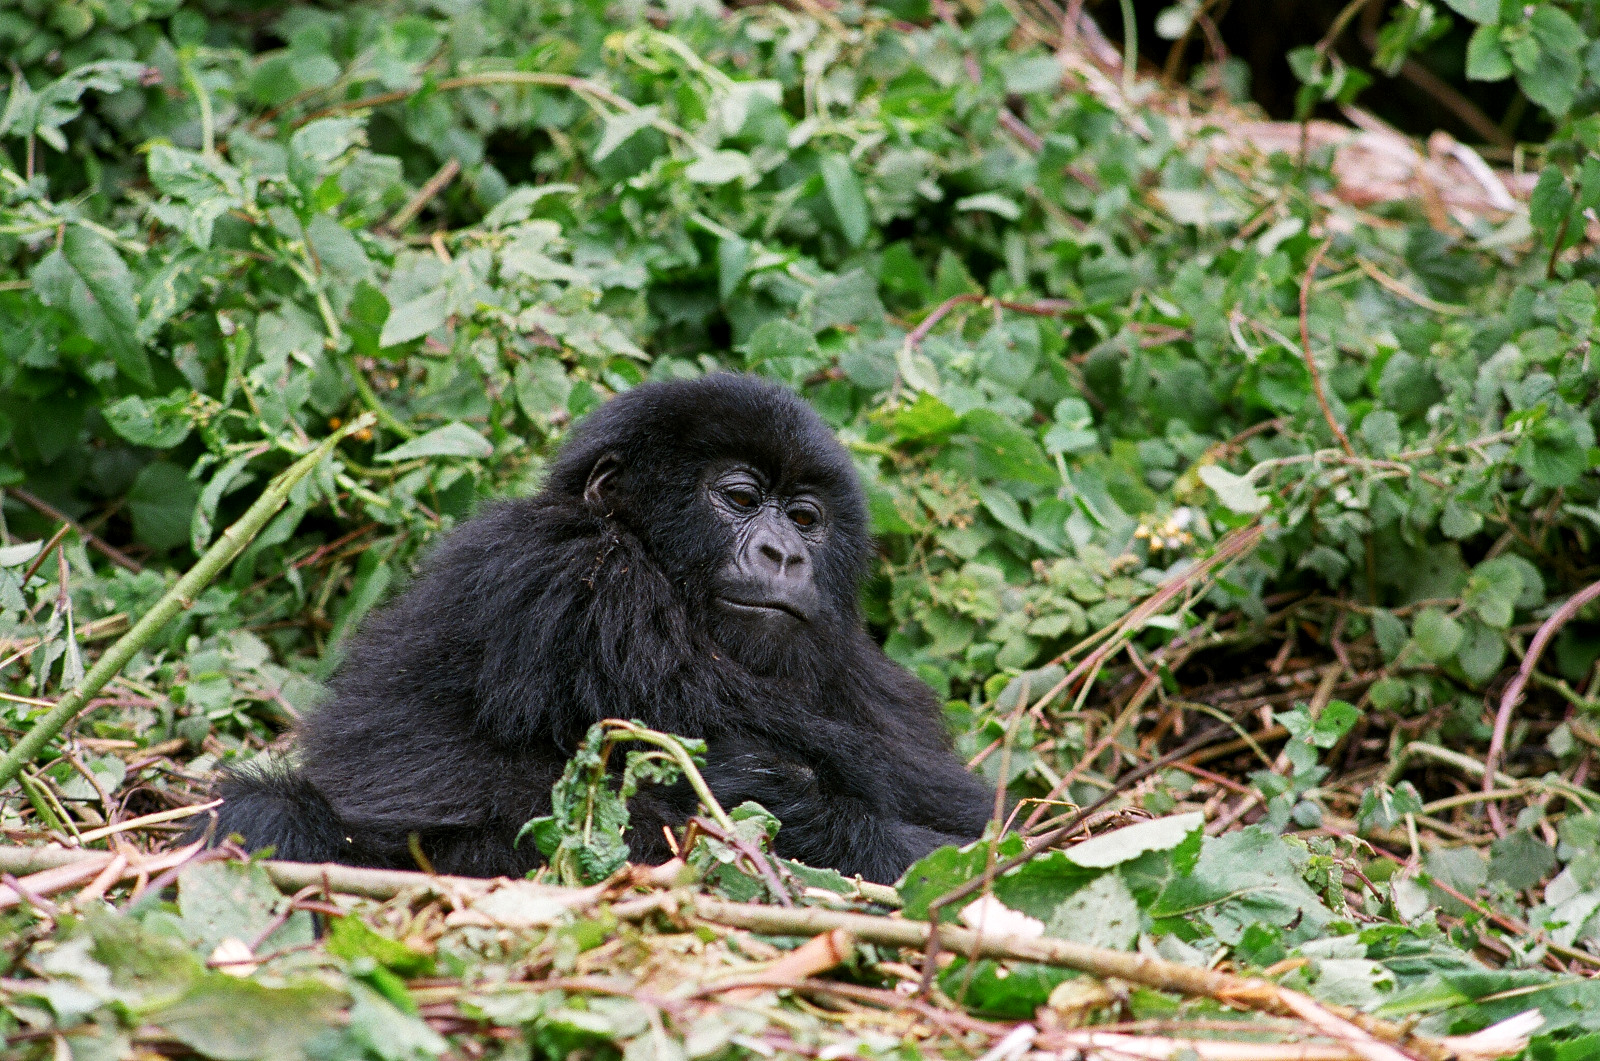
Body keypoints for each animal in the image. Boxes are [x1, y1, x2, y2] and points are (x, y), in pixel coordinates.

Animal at [208, 372, 992, 889]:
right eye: (740, 498)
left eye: (805, 518)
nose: (785, 555)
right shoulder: (581, 571)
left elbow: (973, 817)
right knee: (268, 814)